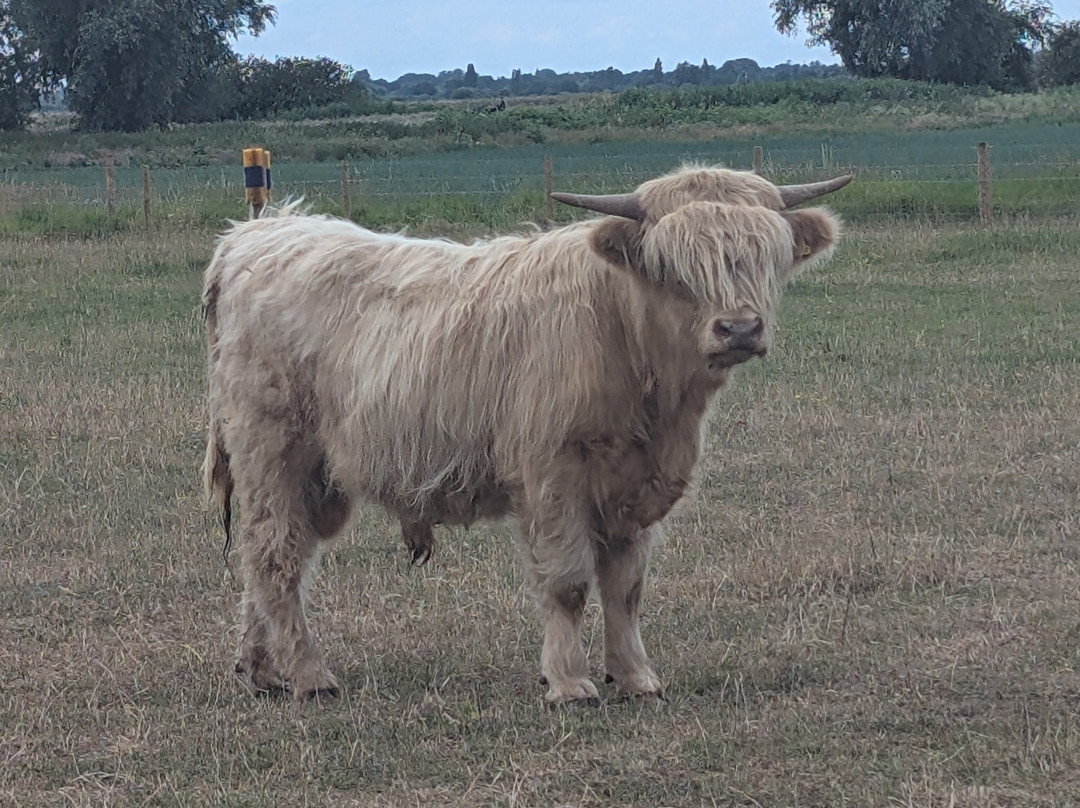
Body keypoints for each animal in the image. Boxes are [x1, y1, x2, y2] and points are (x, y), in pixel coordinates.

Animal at [202, 165, 849, 705]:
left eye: (765, 256)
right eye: (674, 267)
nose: (739, 328)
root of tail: (255, 234)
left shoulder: (633, 488)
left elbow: (626, 587)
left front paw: (635, 676)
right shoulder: (554, 473)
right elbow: (567, 583)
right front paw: (569, 683)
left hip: (318, 478)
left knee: (274, 556)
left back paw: (259, 668)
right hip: (272, 452)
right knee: (275, 555)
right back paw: (308, 674)